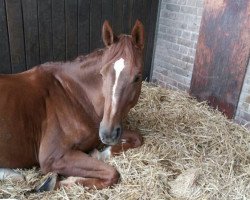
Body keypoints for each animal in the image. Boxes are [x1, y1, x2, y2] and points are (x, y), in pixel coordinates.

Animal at [0, 19, 145, 191]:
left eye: (137, 77)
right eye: (102, 74)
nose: (108, 134)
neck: (75, 94)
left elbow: (138, 137)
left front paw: (99, 154)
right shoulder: (54, 157)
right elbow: (112, 173)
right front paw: (52, 183)